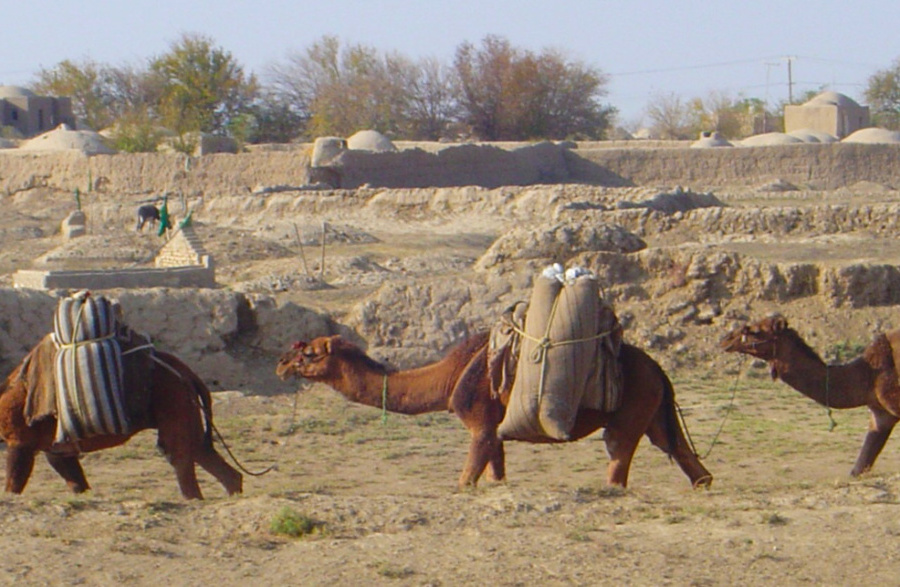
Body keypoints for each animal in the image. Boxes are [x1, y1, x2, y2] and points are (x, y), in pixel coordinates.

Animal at [0, 336, 243, 500]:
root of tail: (186, 372)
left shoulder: (20, 442)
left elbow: (13, 486)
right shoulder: (56, 450)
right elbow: (77, 482)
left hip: (175, 404)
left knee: (180, 459)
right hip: (189, 413)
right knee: (215, 463)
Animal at [278, 334, 712, 490]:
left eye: (309, 353)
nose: (281, 364)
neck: (449, 376)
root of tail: (659, 368)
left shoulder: (479, 422)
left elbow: (466, 478)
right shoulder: (493, 427)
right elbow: (496, 470)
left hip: (630, 410)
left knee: (619, 453)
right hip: (654, 409)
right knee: (679, 450)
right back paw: (701, 485)